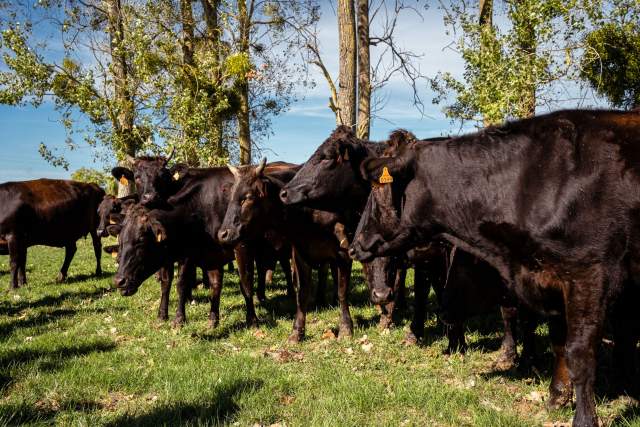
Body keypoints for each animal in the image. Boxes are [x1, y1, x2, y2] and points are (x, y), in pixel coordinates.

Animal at [352, 110, 640, 427]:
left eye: (377, 187)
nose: (355, 244)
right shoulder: (551, 278)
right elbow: (559, 343)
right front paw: (557, 397)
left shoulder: (588, 274)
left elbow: (580, 351)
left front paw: (585, 418)